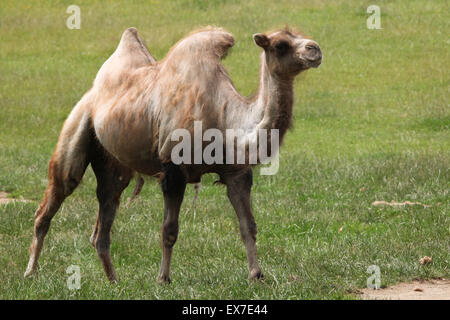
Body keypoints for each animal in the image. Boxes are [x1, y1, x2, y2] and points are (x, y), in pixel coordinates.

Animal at [24, 26, 322, 282]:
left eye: (300, 34)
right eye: (280, 44)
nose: (315, 48)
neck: (224, 118)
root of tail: (93, 94)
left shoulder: (236, 171)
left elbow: (248, 225)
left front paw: (256, 275)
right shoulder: (173, 169)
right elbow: (169, 230)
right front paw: (163, 279)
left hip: (112, 162)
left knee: (104, 214)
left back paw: (114, 281)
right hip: (77, 126)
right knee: (54, 197)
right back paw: (30, 272)